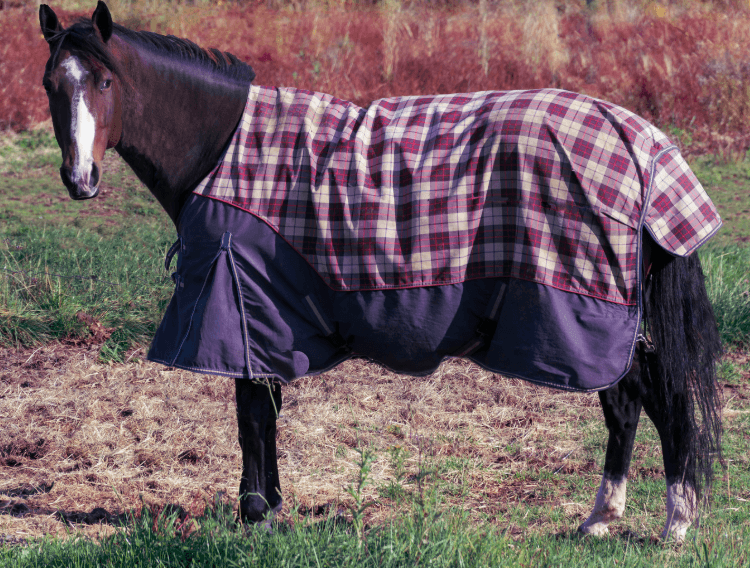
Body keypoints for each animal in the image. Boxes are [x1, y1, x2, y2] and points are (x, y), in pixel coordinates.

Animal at [39, 2, 723, 541]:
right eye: (51, 84)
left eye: (105, 80)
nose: (80, 179)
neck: (223, 149)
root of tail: (640, 142)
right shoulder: (259, 319)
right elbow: (264, 413)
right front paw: (269, 508)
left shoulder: (240, 309)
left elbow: (252, 415)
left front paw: (255, 515)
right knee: (627, 405)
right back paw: (602, 518)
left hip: (599, 312)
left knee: (660, 400)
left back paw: (676, 523)